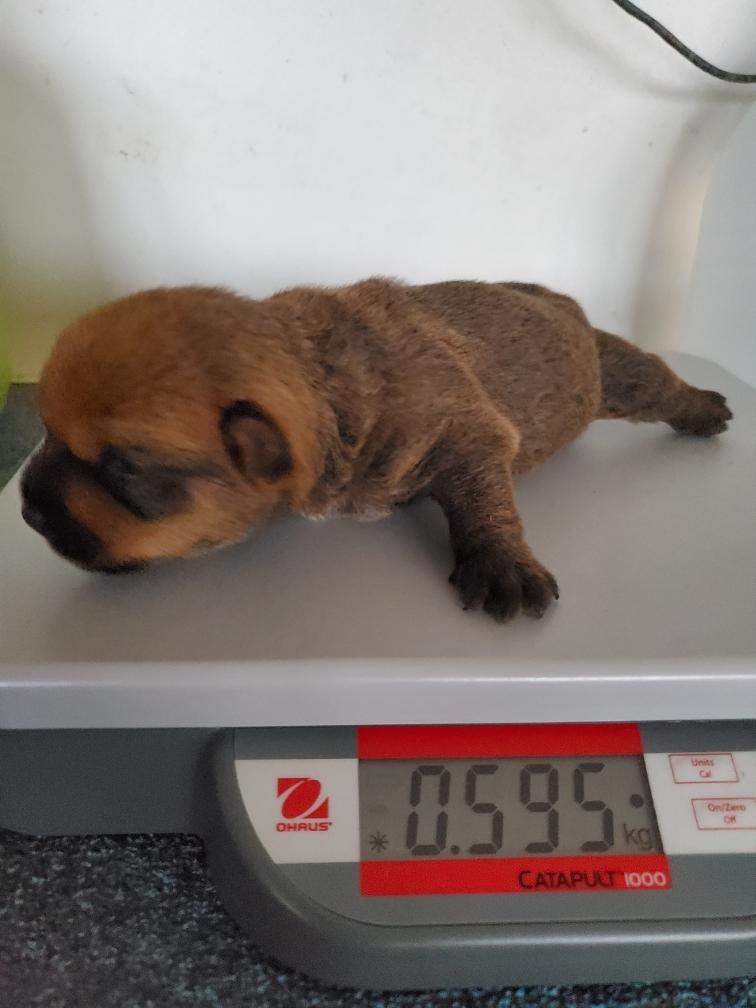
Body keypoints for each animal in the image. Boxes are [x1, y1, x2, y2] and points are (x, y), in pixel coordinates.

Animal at [20, 278, 732, 621]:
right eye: (44, 430)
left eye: (124, 472)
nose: (25, 510)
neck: (322, 378)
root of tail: (552, 295)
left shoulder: (468, 429)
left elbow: (484, 492)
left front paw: (502, 563)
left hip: (615, 370)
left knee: (654, 381)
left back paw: (705, 408)